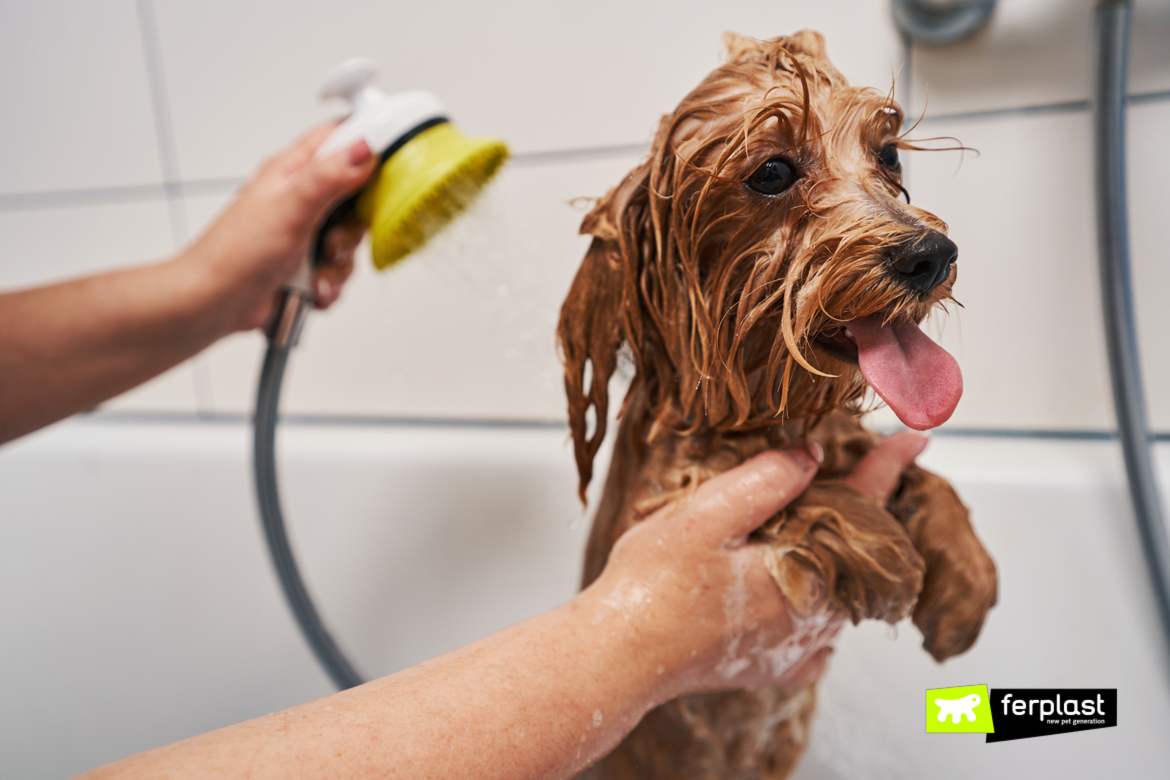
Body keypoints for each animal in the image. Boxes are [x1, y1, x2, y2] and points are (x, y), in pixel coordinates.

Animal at [556, 30, 996, 780]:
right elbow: (788, 492)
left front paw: (966, 583)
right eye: (771, 172)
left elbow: (924, 476)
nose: (932, 254)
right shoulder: (661, 497)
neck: (765, 406)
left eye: (889, 153)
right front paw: (887, 550)